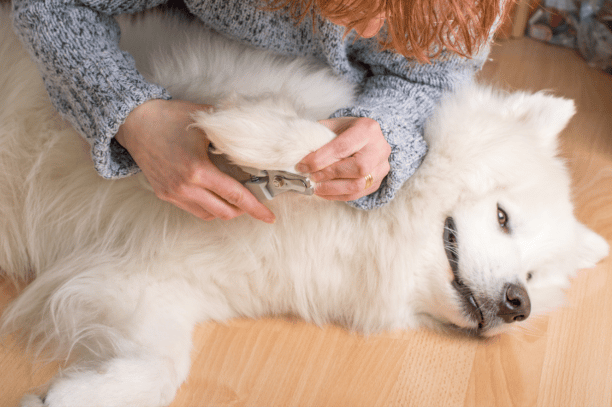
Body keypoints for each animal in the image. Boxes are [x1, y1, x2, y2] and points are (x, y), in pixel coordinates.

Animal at [0, 8, 608, 404]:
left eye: (533, 276)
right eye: (504, 217)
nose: (518, 304)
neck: (367, 233)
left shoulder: (155, 284)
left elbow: (161, 365)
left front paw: (69, 396)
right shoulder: (187, 72)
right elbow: (301, 131)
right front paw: (246, 132)